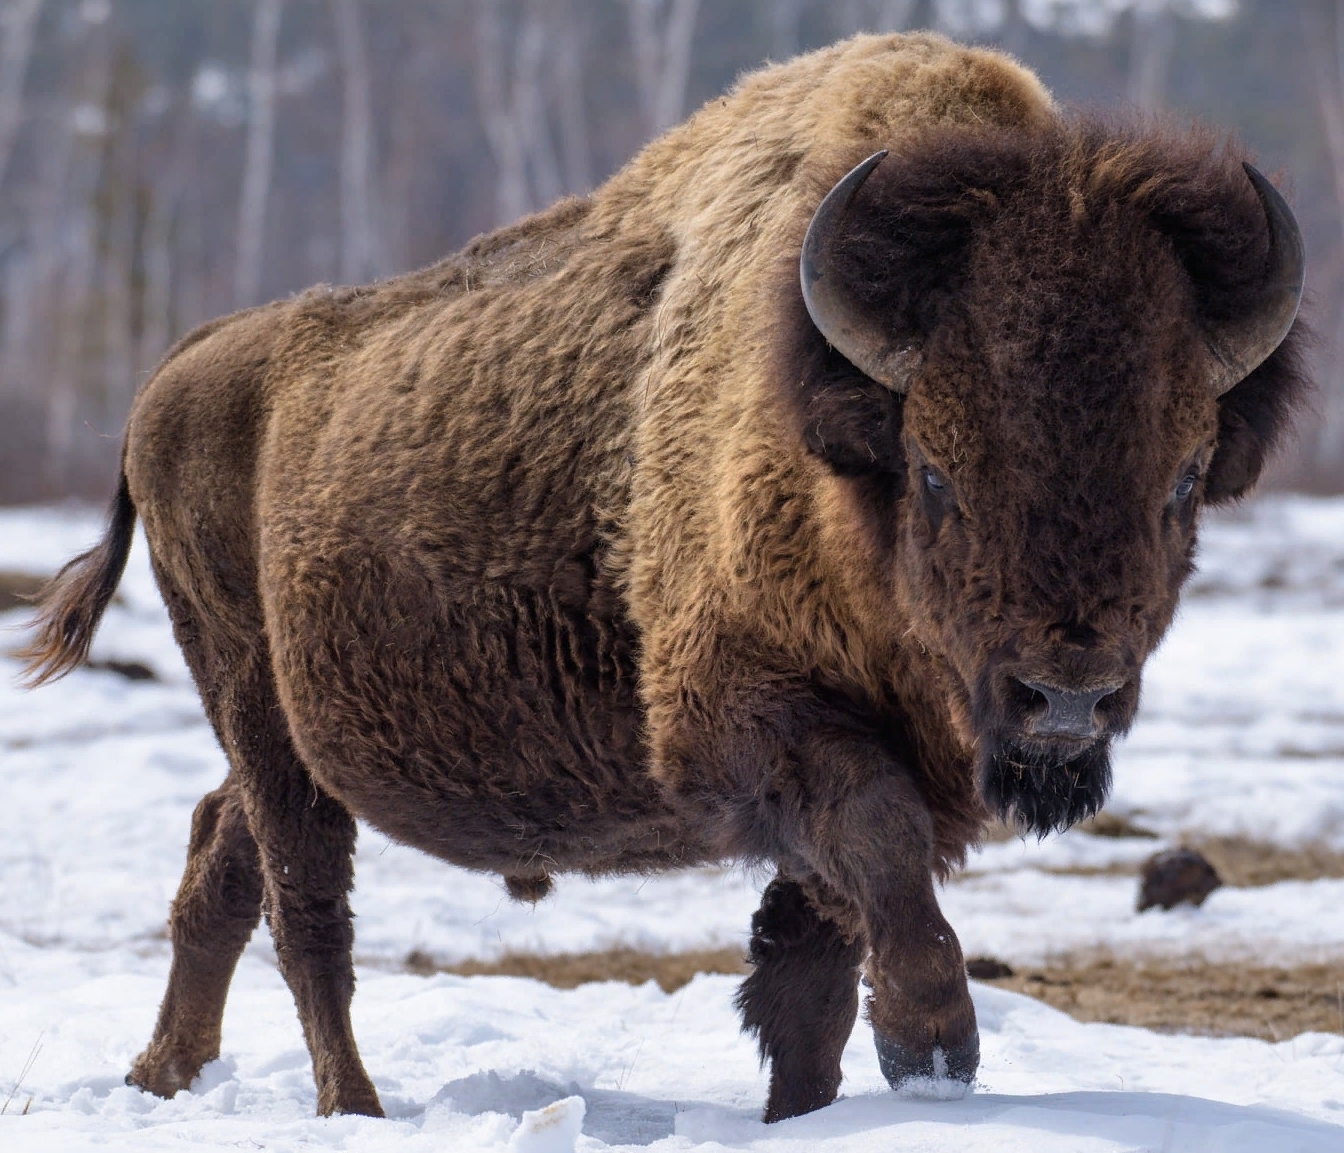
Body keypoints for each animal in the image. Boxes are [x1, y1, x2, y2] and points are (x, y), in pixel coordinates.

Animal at [18, 31, 1300, 1118]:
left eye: (1186, 474)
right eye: (936, 469)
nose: (1067, 698)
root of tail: (175, 371)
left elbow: (809, 971)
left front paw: (812, 1110)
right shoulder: (745, 716)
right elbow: (874, 860)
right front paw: (933, 1051)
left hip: (283, 730)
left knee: (220, 855)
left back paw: (163, 1075)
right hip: (252, 697)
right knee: (307, 908)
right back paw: (352, 1106)